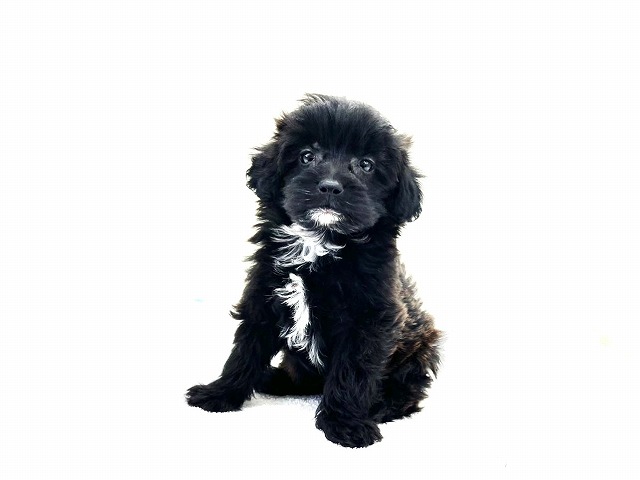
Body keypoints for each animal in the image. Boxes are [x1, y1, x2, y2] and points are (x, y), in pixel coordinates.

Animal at [186, 94, 441, 448]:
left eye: (366, 164)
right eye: (307, 156)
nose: (330, 186)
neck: (318, 242)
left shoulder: (370, 317)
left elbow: (353, 369)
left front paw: (345, 423)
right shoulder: (263, 295)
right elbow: (245, 349)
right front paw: (220, 393)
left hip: (420, 347)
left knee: (409, 391)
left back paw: (382, 406)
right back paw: (274, 378)